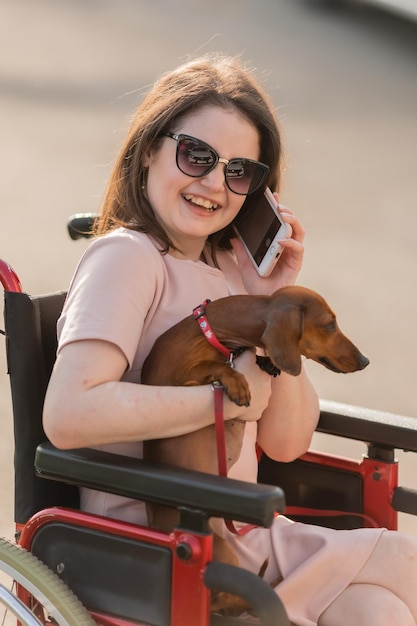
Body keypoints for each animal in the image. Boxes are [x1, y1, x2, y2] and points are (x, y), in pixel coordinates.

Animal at [141, 286, 368, 608]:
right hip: (221, 551)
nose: (364, 360)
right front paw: (237, 382)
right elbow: (212, 365)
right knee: (227, 598)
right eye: (329, 325)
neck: (210, 332)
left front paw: (267, 364)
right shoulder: (177, 383)